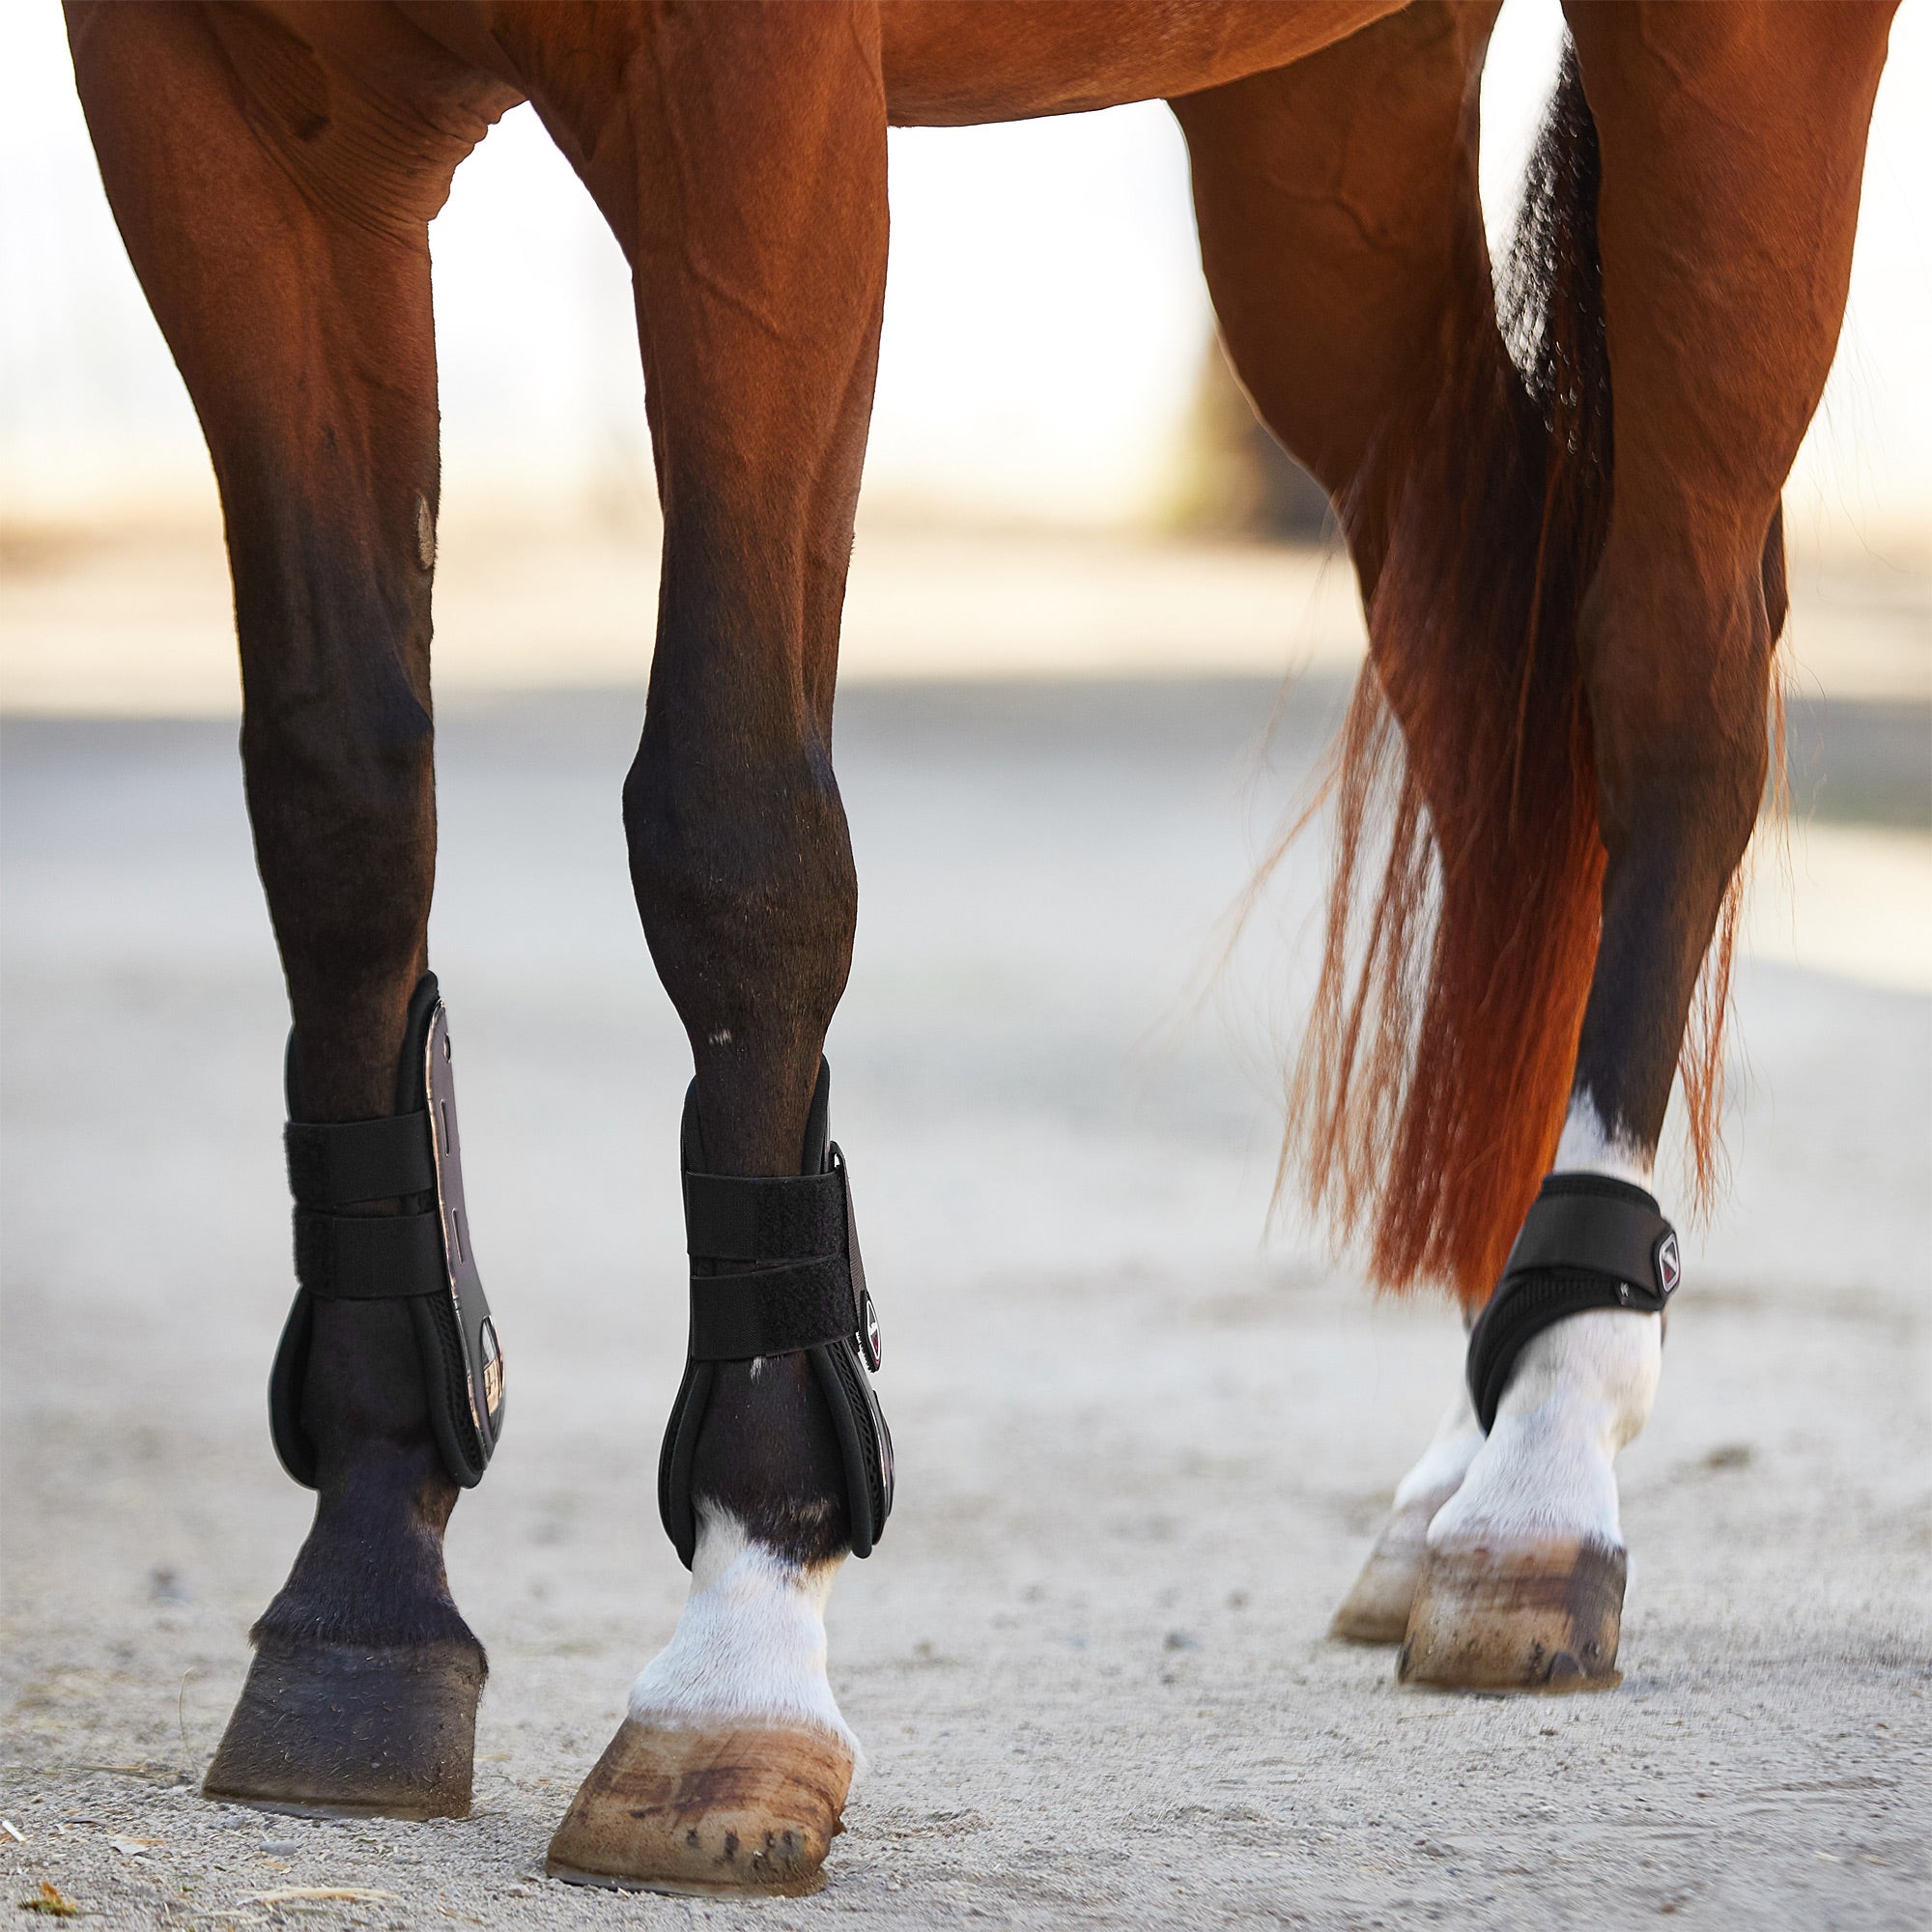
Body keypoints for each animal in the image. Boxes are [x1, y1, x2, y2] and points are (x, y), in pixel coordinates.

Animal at [68, 0, 1893, 1901]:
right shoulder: (221, 122)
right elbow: (341, 806)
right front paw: (365, 1594)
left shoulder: (758, 120)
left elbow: (731, 828)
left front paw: (743, 1642)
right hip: (1327, 135)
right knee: (1496, 681)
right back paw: (1458, 1470)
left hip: (1735, 68)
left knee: (1676, 681)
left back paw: (1544, 1461)